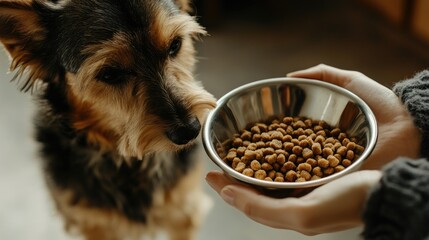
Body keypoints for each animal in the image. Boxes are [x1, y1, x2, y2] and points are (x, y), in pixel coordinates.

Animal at [0, 0, 214, 239]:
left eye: (175, 45)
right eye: (109, 74)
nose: (190, 130)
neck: (128, 161)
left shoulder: (184, 210)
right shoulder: (94, 225)